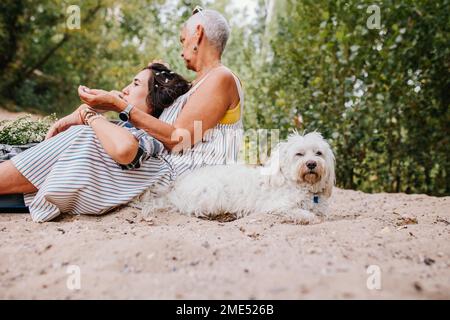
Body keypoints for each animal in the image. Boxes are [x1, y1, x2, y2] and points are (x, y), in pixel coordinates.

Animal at [140, 131, 334, 224]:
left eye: (318, 153)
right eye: (299, 154)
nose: (311, 164)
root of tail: (175, 188)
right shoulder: (277, 206)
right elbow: (300, 212)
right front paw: (310, 217)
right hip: (213, 193)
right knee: (193, 210)